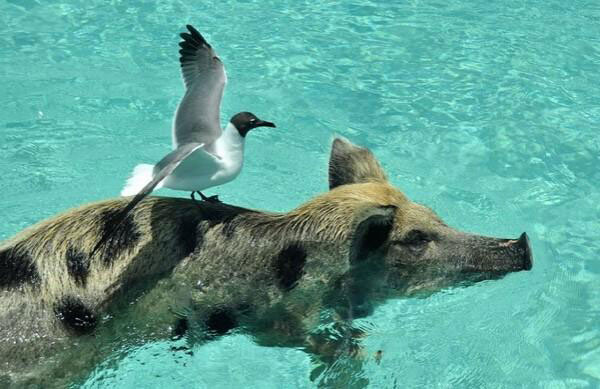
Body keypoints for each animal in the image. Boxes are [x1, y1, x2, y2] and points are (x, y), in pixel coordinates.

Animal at [0, 136, 532, 384]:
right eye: (417, 239)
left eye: (437, 216)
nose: (523, 245)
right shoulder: (271, 313)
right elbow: (292, 337)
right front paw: (366, 358)